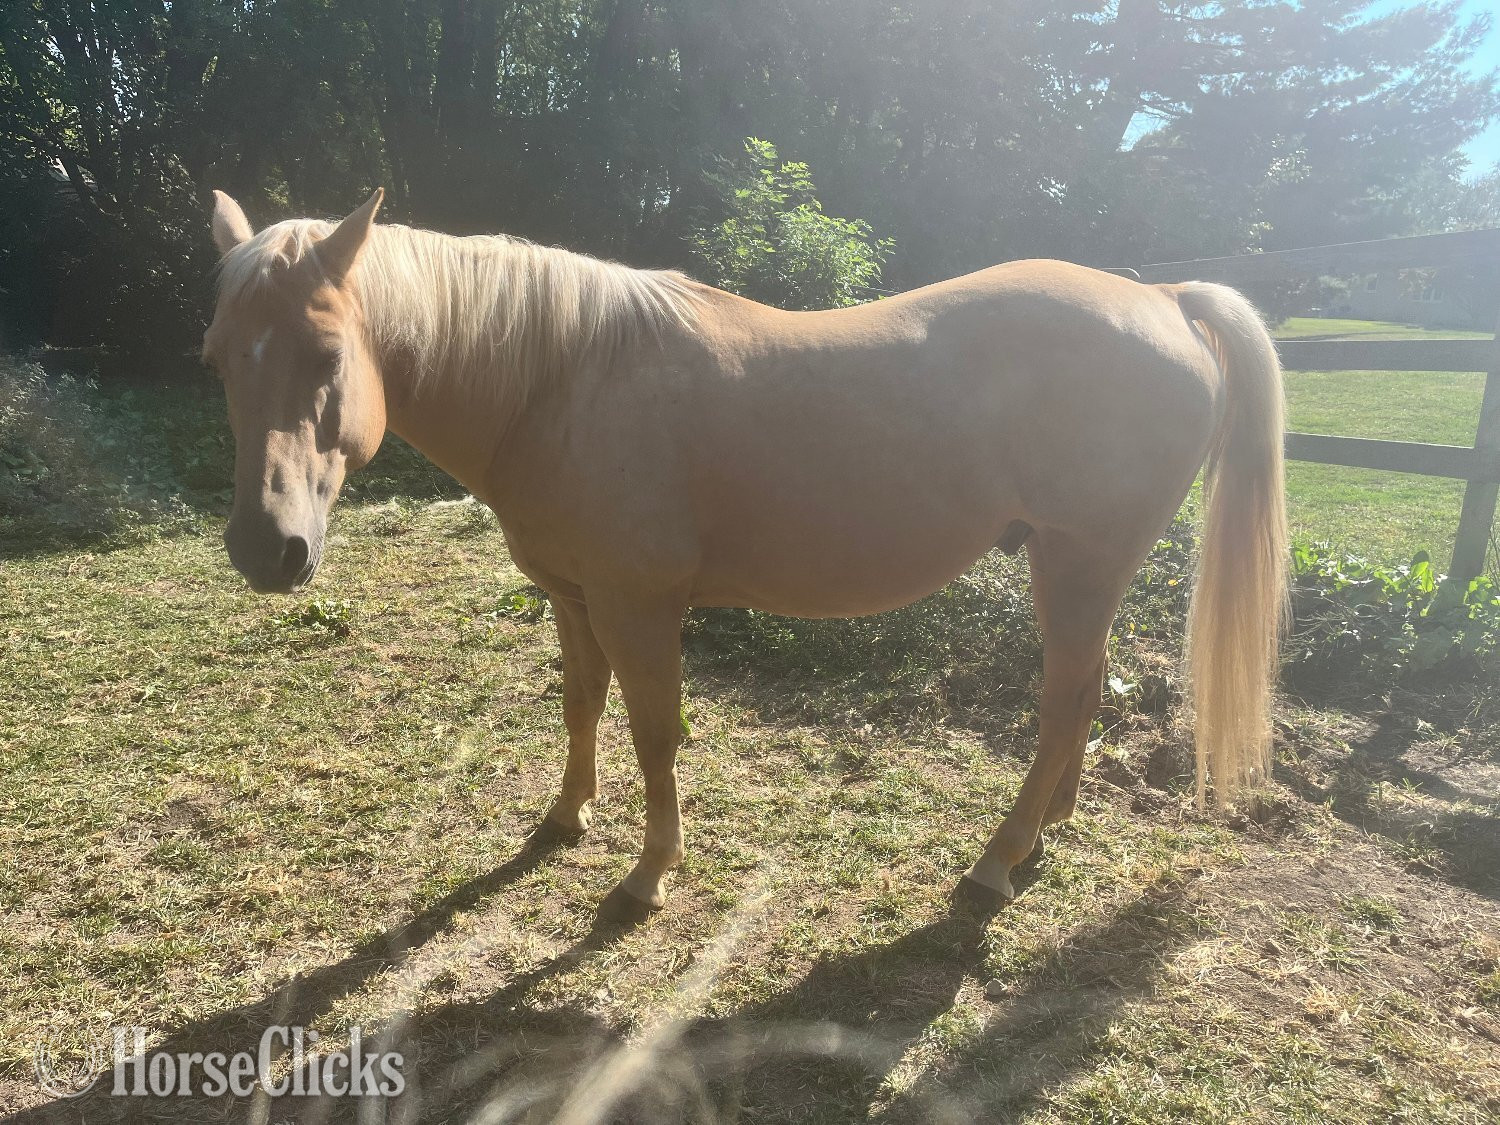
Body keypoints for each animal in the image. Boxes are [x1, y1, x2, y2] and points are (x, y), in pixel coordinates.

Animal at [202, 189, 1287, 923]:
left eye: (326, 357)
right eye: (215, 357)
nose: (267, 549)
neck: (561, 381)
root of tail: (1164, 299)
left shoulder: (639, 605)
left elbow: (656, 733)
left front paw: (646, 875)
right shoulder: (572, 597)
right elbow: (581, 707)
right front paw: (565, 819)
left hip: (1078, 563)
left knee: (1063, 702)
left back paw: (994, 860)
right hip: (1082, 572)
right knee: (1086, 694)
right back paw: (1047, 830)